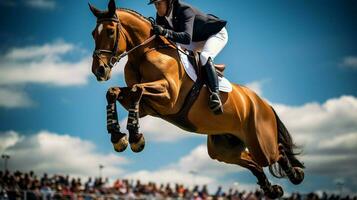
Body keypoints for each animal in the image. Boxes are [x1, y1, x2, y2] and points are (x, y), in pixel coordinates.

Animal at [88, 0, 304, 198]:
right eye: (93, 34)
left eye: (110, 32)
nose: (99, 71)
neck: (143, 54)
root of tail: (263, 103)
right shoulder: (147, 108)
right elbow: (114, 92)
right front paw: (118, 137)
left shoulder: (169, 97)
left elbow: (136, 90)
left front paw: (135, 138)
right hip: (223, 149)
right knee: (254, 164)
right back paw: (272, 189)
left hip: (260, 142)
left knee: (276, 151)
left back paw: (296, 174)